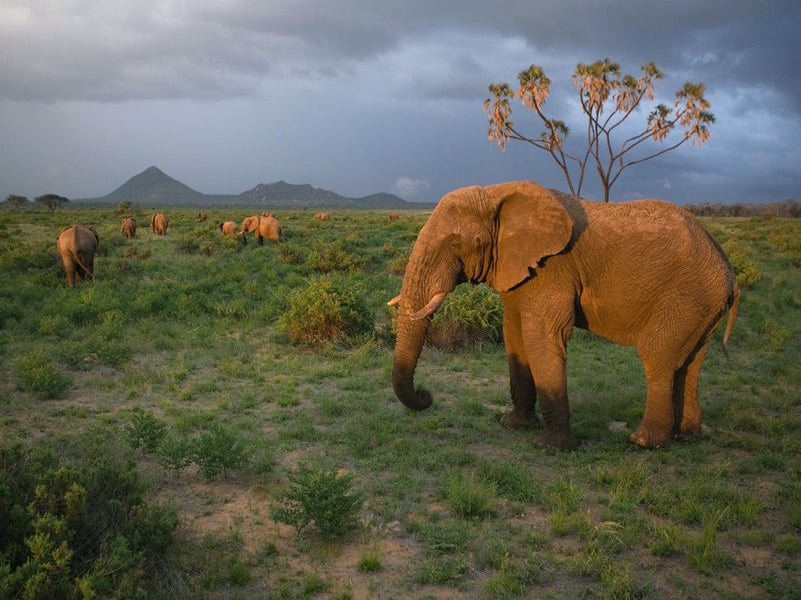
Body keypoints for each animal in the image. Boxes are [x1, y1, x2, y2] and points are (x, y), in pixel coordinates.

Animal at [388, 182, 736, 450]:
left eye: (460, 244)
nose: (426, 395)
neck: (495, 192)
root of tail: (728, 269)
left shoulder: (552, 268)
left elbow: (542, 336)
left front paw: (551, 447)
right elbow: (514, 335)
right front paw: (512, 425)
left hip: (687, 295)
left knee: (658, 355)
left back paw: (643, 442)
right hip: (702, 305)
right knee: (691, 362)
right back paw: (686, 435)